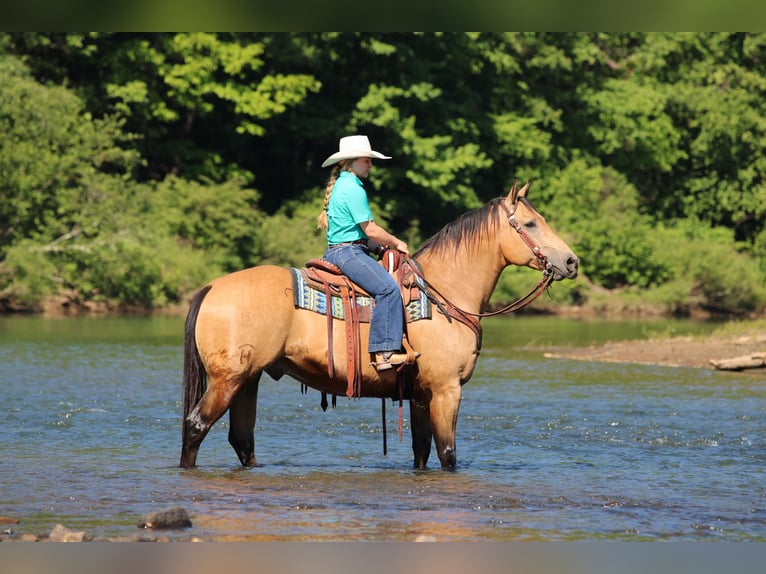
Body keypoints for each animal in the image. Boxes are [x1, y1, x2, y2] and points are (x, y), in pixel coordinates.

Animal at [180, 180, 579, 470]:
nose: (572, 262)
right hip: (227, 380)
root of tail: (212, 287)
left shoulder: (420, 394)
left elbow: (421, 452)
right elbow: (447, 454)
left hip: (248, 380)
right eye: (530, 224)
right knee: (196, 425)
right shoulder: (446, 390)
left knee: (241, 438)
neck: (445, 294)